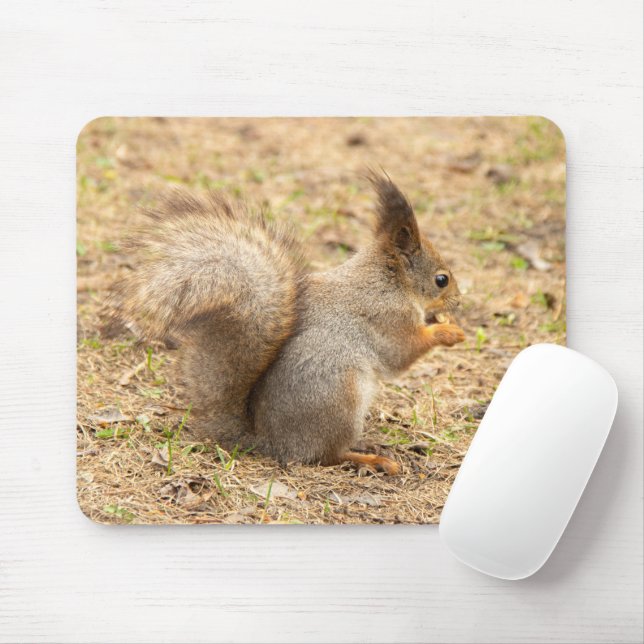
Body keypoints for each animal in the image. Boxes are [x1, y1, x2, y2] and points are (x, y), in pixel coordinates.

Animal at [113, 172, 465, 475]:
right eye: (441, 279)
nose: (458, 302)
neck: (389, 281)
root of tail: (271, 442)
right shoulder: (388, 317)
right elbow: (402, 353)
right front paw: (448, 331)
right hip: (340, 399)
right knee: (327, 456)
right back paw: (371, 459)